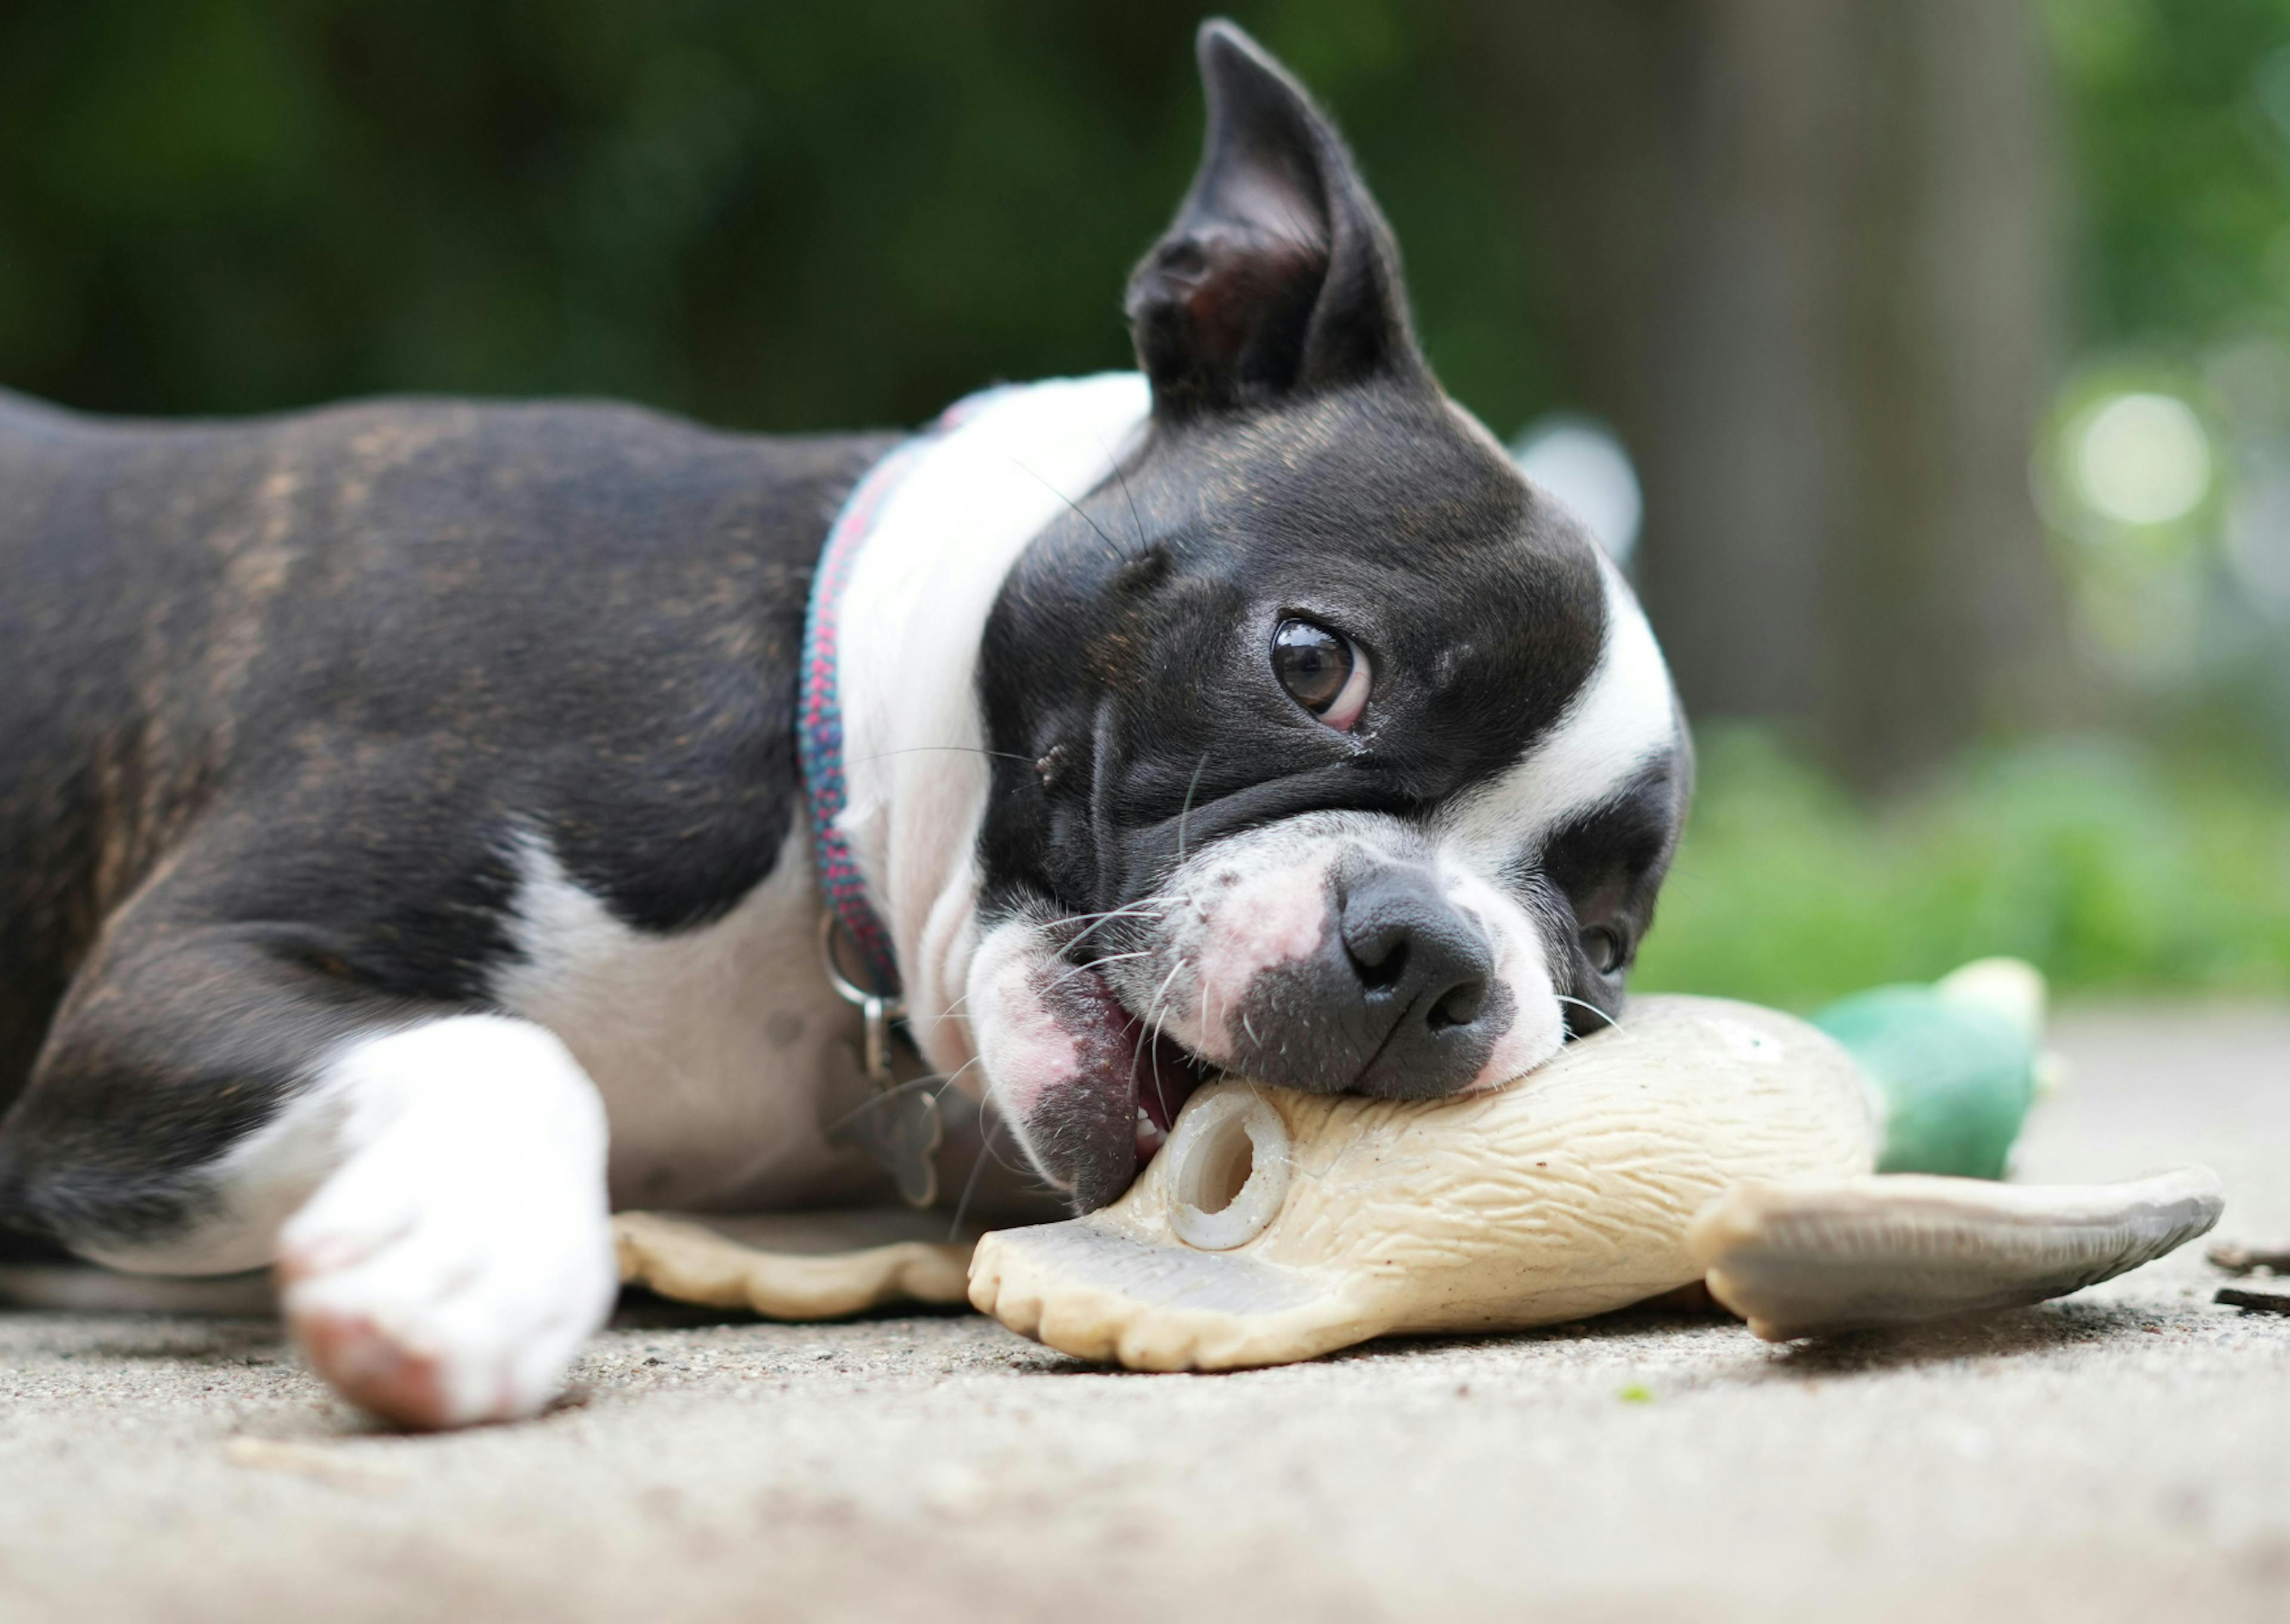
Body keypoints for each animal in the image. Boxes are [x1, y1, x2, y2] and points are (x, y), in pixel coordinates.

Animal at [0, 18, 1685, 1429]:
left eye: (1601, 945)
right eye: (1315, 663)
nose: (1434, 956)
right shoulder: (167, 986)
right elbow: (499, 1047)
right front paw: (467, 1271)